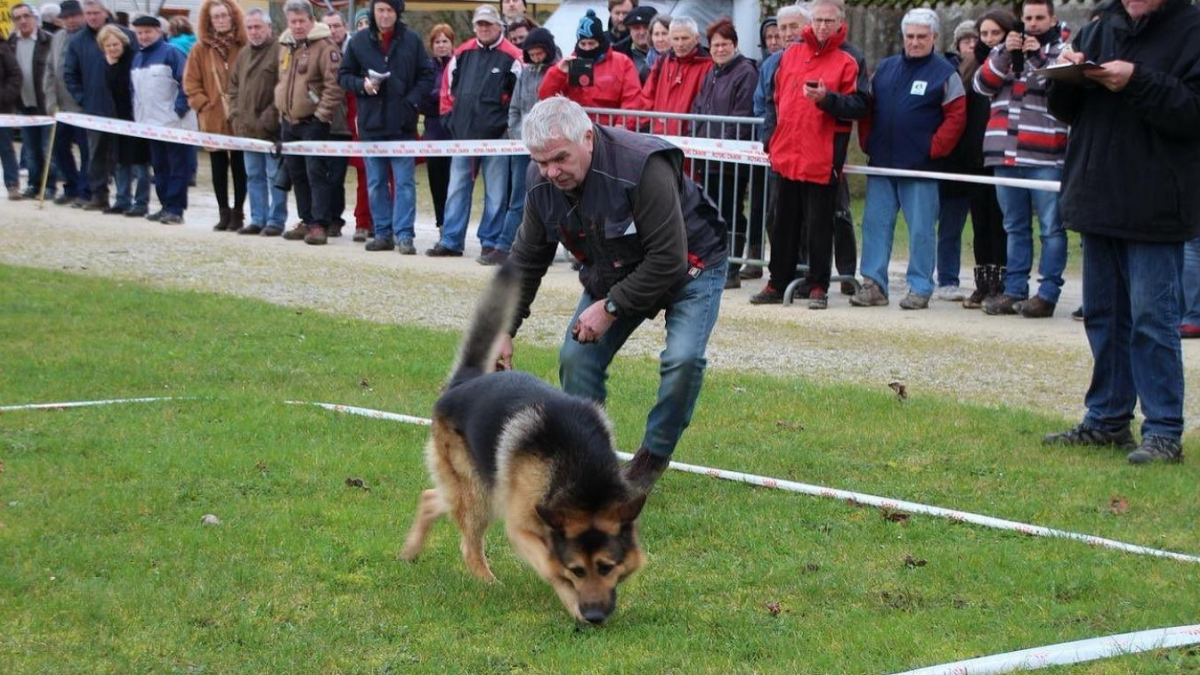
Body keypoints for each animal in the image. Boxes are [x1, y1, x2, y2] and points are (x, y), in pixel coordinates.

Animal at [400, 265, 648, 624]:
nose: (594, 616)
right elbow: (550, 567)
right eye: (576, 570)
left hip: (475, 489)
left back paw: (410, 550)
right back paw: (487, 582)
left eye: (606, 567)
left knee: (432, 497)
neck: (579, 470)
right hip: (481, 493)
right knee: (468, 544)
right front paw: (571, 604)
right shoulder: (523, 529)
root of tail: (464, 382)